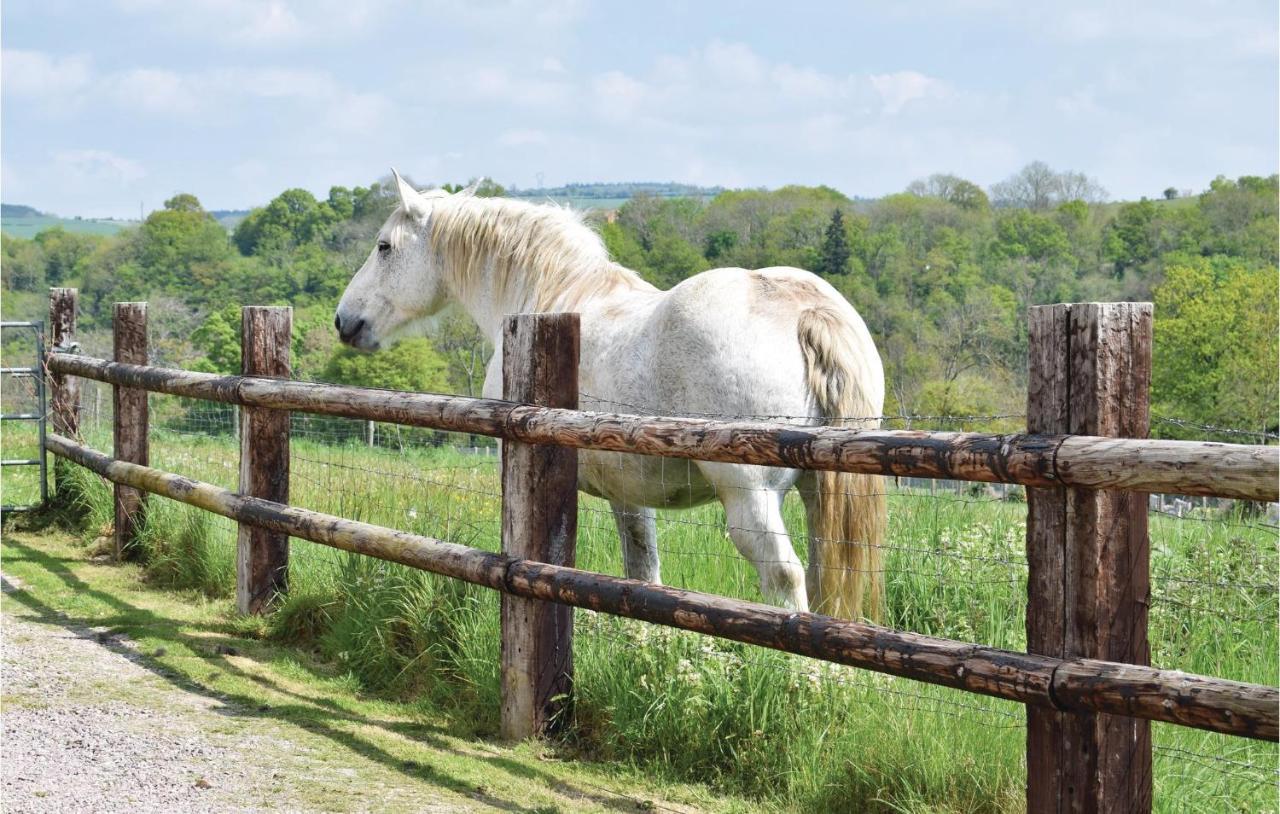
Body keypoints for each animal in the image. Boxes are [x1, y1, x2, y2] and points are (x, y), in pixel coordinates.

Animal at [335, 171, 885, 616]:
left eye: (384, 246)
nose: (345, 321)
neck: (549, 295)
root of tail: (803, 308)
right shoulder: (629, 493)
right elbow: (641, 571)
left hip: (750, 498)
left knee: (784, 579)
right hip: (820, 494)